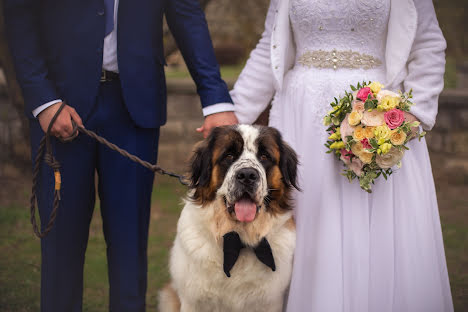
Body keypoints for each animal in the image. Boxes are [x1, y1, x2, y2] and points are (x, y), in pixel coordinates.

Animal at [159, 125, 298, 312]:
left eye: (264, 156)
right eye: (229, 156)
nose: (247, 175)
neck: (238, 240)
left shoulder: (270, 303)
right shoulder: (193, 302)